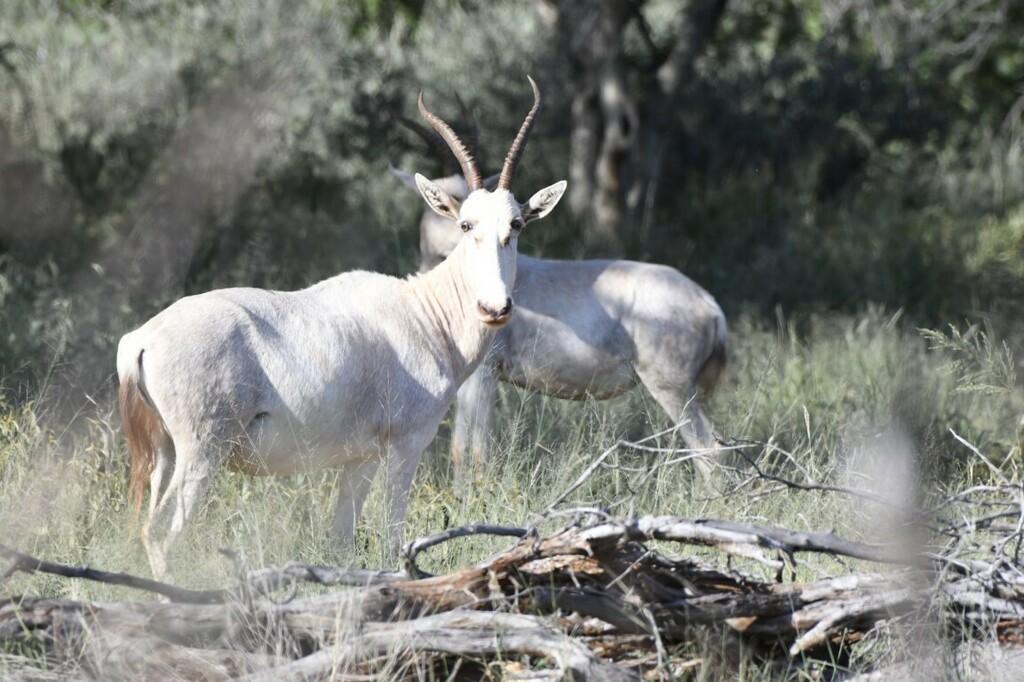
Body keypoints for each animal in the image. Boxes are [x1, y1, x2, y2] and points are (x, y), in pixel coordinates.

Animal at [121, 78, 569, 577]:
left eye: (516, 224)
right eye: (466, 223)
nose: (495, 307)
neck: (423, 311)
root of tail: (140, 341)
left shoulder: (361, 459)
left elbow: (341, 541)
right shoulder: (406, 445)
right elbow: (394, 541)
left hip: (164, 455)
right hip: (201, 454)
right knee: (158, 533)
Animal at [391, 112, 729, 477]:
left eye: (516, 223)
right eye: (465, 221)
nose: (496, 308)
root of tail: (710, 305)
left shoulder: (484, 375)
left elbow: (475, 453)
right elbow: (462, 451)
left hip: (673, 390)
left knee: (708, 451)